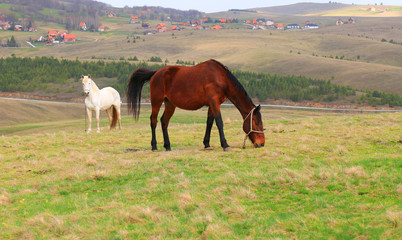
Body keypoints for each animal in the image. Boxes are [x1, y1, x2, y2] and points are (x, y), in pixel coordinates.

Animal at [125, 59, 264, 151]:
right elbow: (219, 122)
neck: (221, 78)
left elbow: (209, 123)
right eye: (256, 123)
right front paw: (225, 145)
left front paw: (207, 144)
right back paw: (154, 146)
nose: (261, 143)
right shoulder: (214, 102)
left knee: (164, 121)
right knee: (153, 121)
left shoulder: (212, 104)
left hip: (170, 104)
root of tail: (156, 73)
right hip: (156, 101)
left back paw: (168, 146)